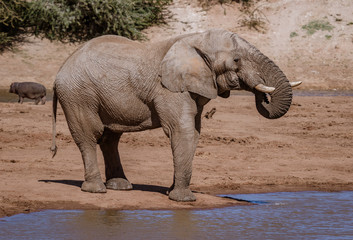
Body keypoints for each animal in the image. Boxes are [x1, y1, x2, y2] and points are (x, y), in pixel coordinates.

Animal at [51, 29, 302, 202]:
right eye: (237, 60)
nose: (264, 96)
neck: (195, 39)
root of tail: (61, 69)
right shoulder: (169, 88)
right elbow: (182, 131)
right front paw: (184, 200)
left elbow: (195, 133)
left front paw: (172, 193)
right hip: (78, 94)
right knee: (89, 135)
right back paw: (96, 190)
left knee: (110, 138)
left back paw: (120, 186)